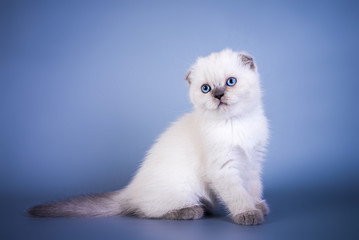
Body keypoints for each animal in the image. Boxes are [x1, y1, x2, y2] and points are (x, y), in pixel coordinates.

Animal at [28, 48, 270, 225]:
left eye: (230, 82)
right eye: (206, 88)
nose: (218, 95)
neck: (236, 123)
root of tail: (129, 190)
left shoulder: (252, 163)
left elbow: (252, 189)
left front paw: (258, 206)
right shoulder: (224, 169)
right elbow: (238, 195)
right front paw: (248, 214)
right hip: (182, 188)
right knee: (146, 211)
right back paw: (191, 211)